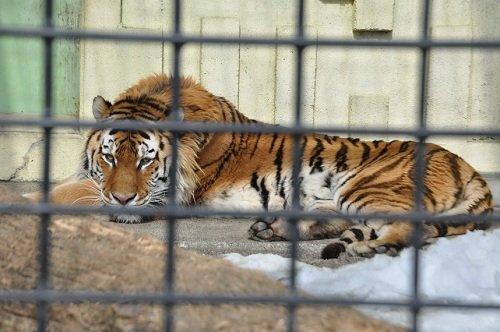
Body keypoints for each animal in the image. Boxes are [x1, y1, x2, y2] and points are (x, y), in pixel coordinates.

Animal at [37, 73, 494, 260]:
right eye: (109, 156)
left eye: (148, 160)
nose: (123, 199)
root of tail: (467, 166)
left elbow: (74, 193)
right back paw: (272, 229)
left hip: (366, 186)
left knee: (413, 230)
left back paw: (373, 247)